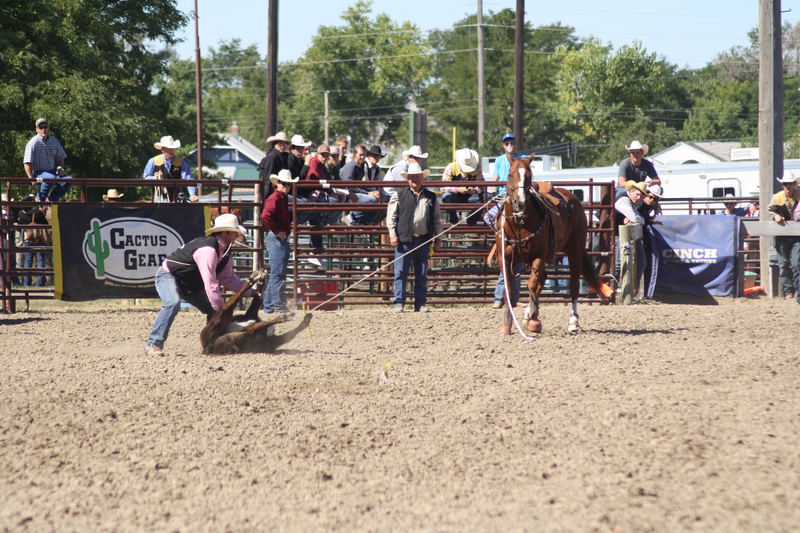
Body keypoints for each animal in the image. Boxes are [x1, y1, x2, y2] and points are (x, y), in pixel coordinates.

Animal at [494, 154, 608, 334]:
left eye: (529, 176)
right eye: (510, 175)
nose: (520, 202)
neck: (520, 224)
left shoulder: (539, 255)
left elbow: (532, 284)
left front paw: (534, 321)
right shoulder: (503, 258)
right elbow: (510, 289)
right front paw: (507, 325)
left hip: (575, 252)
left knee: (573, 285)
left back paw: (572, 322)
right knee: (543, 279)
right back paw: (529, 314)